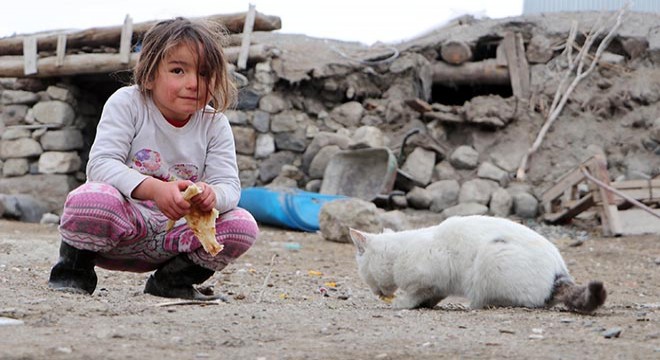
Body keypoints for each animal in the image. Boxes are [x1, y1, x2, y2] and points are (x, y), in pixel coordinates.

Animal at [350, 214, 608, 312]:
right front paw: (425, 304)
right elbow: (433, 294)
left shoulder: (430, 273)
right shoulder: (440, 283)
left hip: (492, 257)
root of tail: (560, 272)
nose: (376, 293)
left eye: (364, 273)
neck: (399, 253)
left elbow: (417, 292)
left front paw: (402, 303)